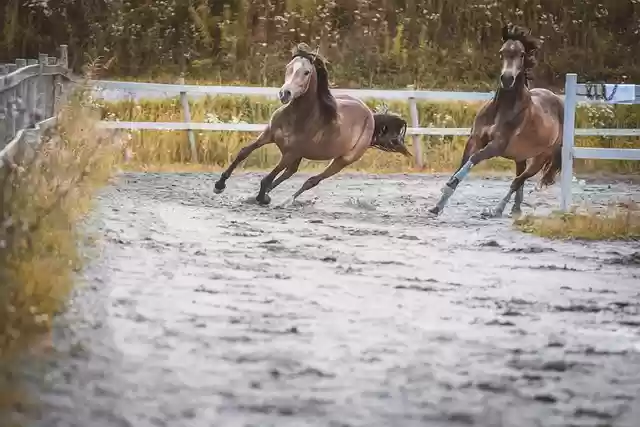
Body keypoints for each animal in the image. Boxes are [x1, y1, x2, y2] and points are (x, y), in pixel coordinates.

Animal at [213, 43, 411, 206]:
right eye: (289, 68)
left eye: (306, 72)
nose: (285, 94)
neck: (297, 117)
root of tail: (370, 116)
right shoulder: (268, 135)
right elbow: (243, 153)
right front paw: (219, 185)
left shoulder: (291, 152)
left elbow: (267, 177)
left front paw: (261, 198)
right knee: (290, 172)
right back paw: (267, 195)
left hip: (342, 160)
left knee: (311, 180)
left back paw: (284, 201)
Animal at [428, 23, 564, 218]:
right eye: (502, 52)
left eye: (522, 54)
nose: (507, 79)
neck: (502, 109)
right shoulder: (475, 139)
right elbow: (463, 164)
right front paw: (438, 205)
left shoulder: (497, 145)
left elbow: (474, 159)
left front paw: (450, 184)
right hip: (520, 157)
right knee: (519, 181)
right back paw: (515, 210)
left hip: (540, 159)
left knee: (517, 181)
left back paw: (497, 210)